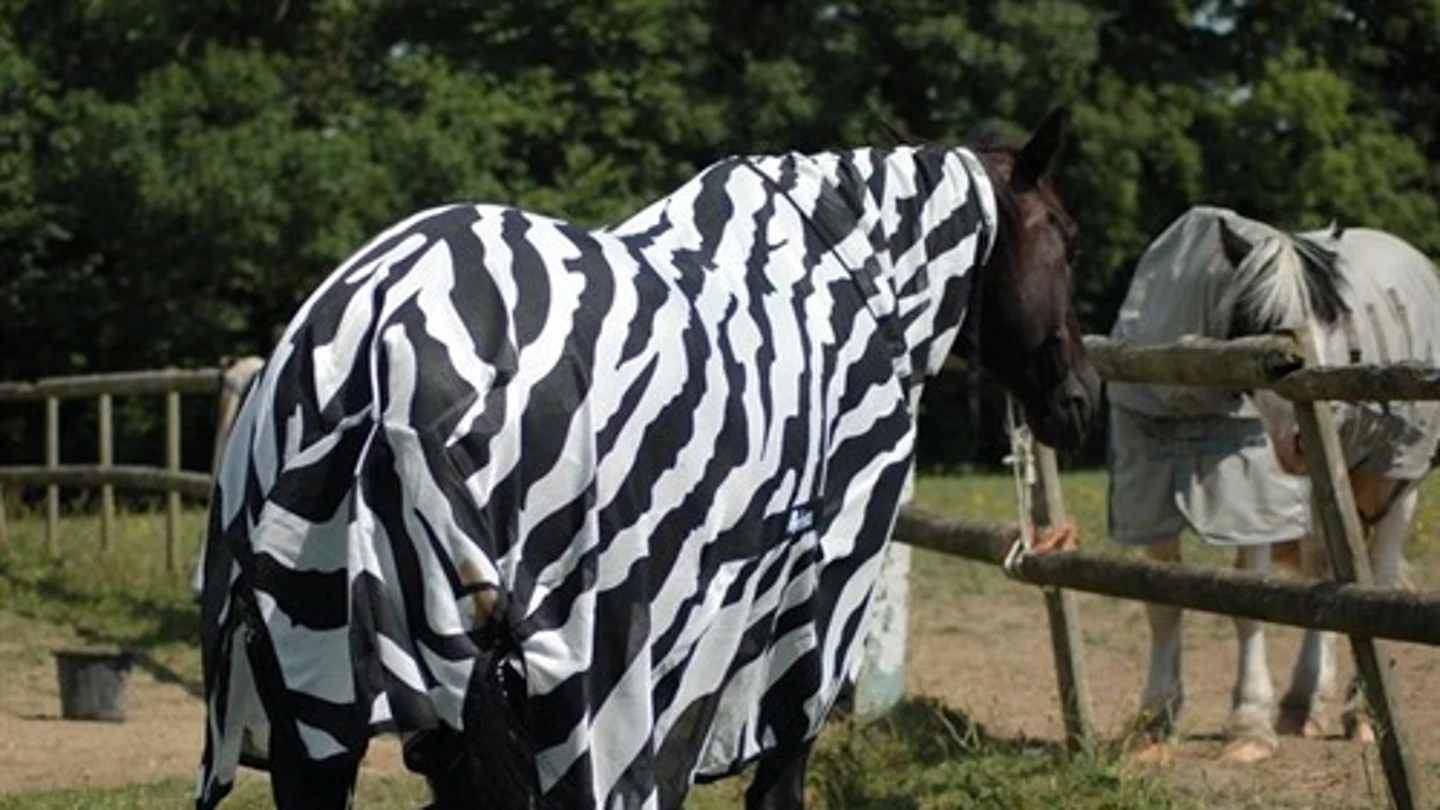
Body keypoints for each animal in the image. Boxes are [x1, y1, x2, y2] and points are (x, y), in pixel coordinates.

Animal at [194, 108, 1097, 810]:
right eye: (1069, 239)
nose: (1080, 398)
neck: (850, 284)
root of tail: (369, 341)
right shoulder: (805, 628)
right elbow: (775, 781)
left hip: (322, 699)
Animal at [1107, 205, 1440, 764]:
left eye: (1333, 321)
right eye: (1262, 329)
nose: (1312, 432)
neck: (1189, 376)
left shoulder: (1254, 500)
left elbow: (1248, 603)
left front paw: (1247, 726)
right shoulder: (1148, 488)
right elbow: (1160, 599)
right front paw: (1153, 721)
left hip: (1395, 480)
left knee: (1375, 580)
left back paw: (1359, 717)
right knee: (1328, 574)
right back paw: (1302, 702)